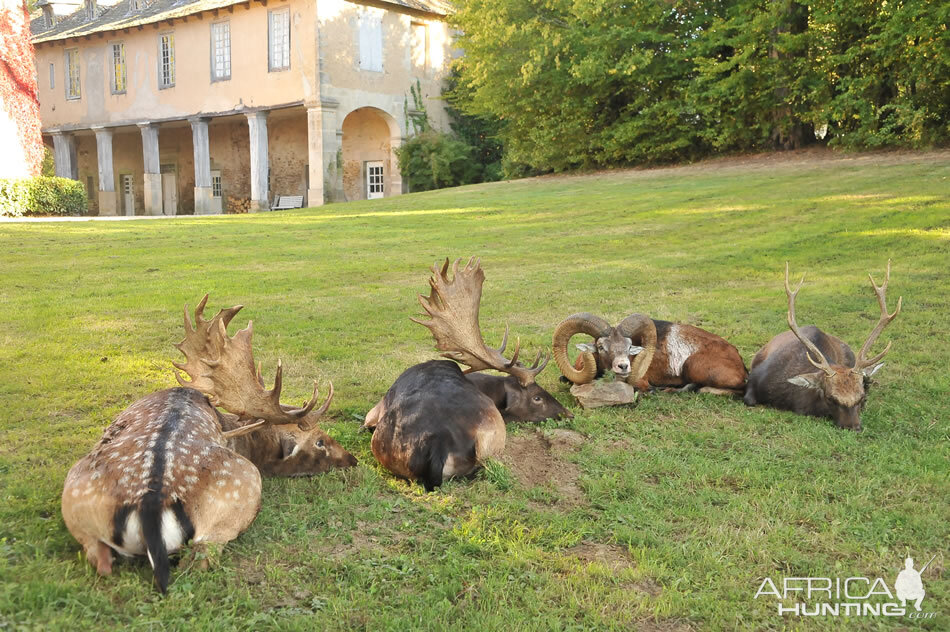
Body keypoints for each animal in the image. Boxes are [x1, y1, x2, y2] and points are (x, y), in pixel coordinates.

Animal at [61, 296, 356, 592]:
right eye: (319, 441)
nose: (353, 459)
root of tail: (150, 504)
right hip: (239, 490)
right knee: (199, 558)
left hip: (76, 504)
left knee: (101, 559)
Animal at [744, 260, 908, 430]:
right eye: (831, 398)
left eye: (862, 398)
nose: (853, 428)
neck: (791, 401)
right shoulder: (754, 379)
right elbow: (750, 400)